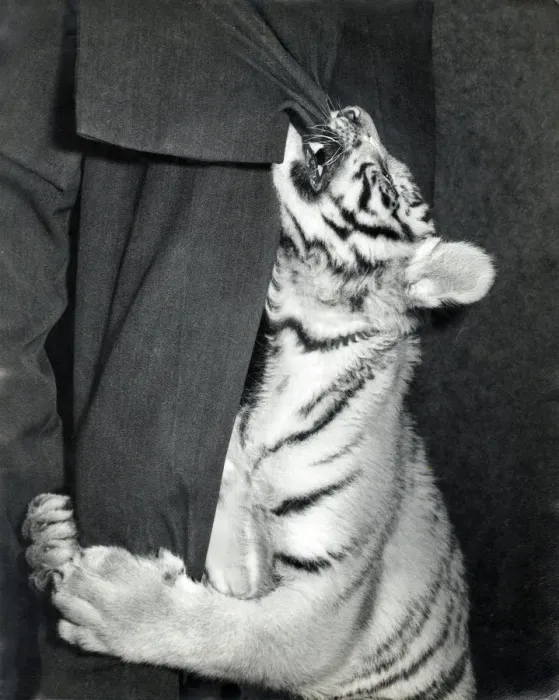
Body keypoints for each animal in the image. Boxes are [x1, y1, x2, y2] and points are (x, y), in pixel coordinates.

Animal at [23, 106, 495, 700]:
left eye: (385, 183)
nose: (355, 111)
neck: (289, 345)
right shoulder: (239, 547)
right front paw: (49, 535)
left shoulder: (327, 604)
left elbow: (233, 637)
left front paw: (108, 598)